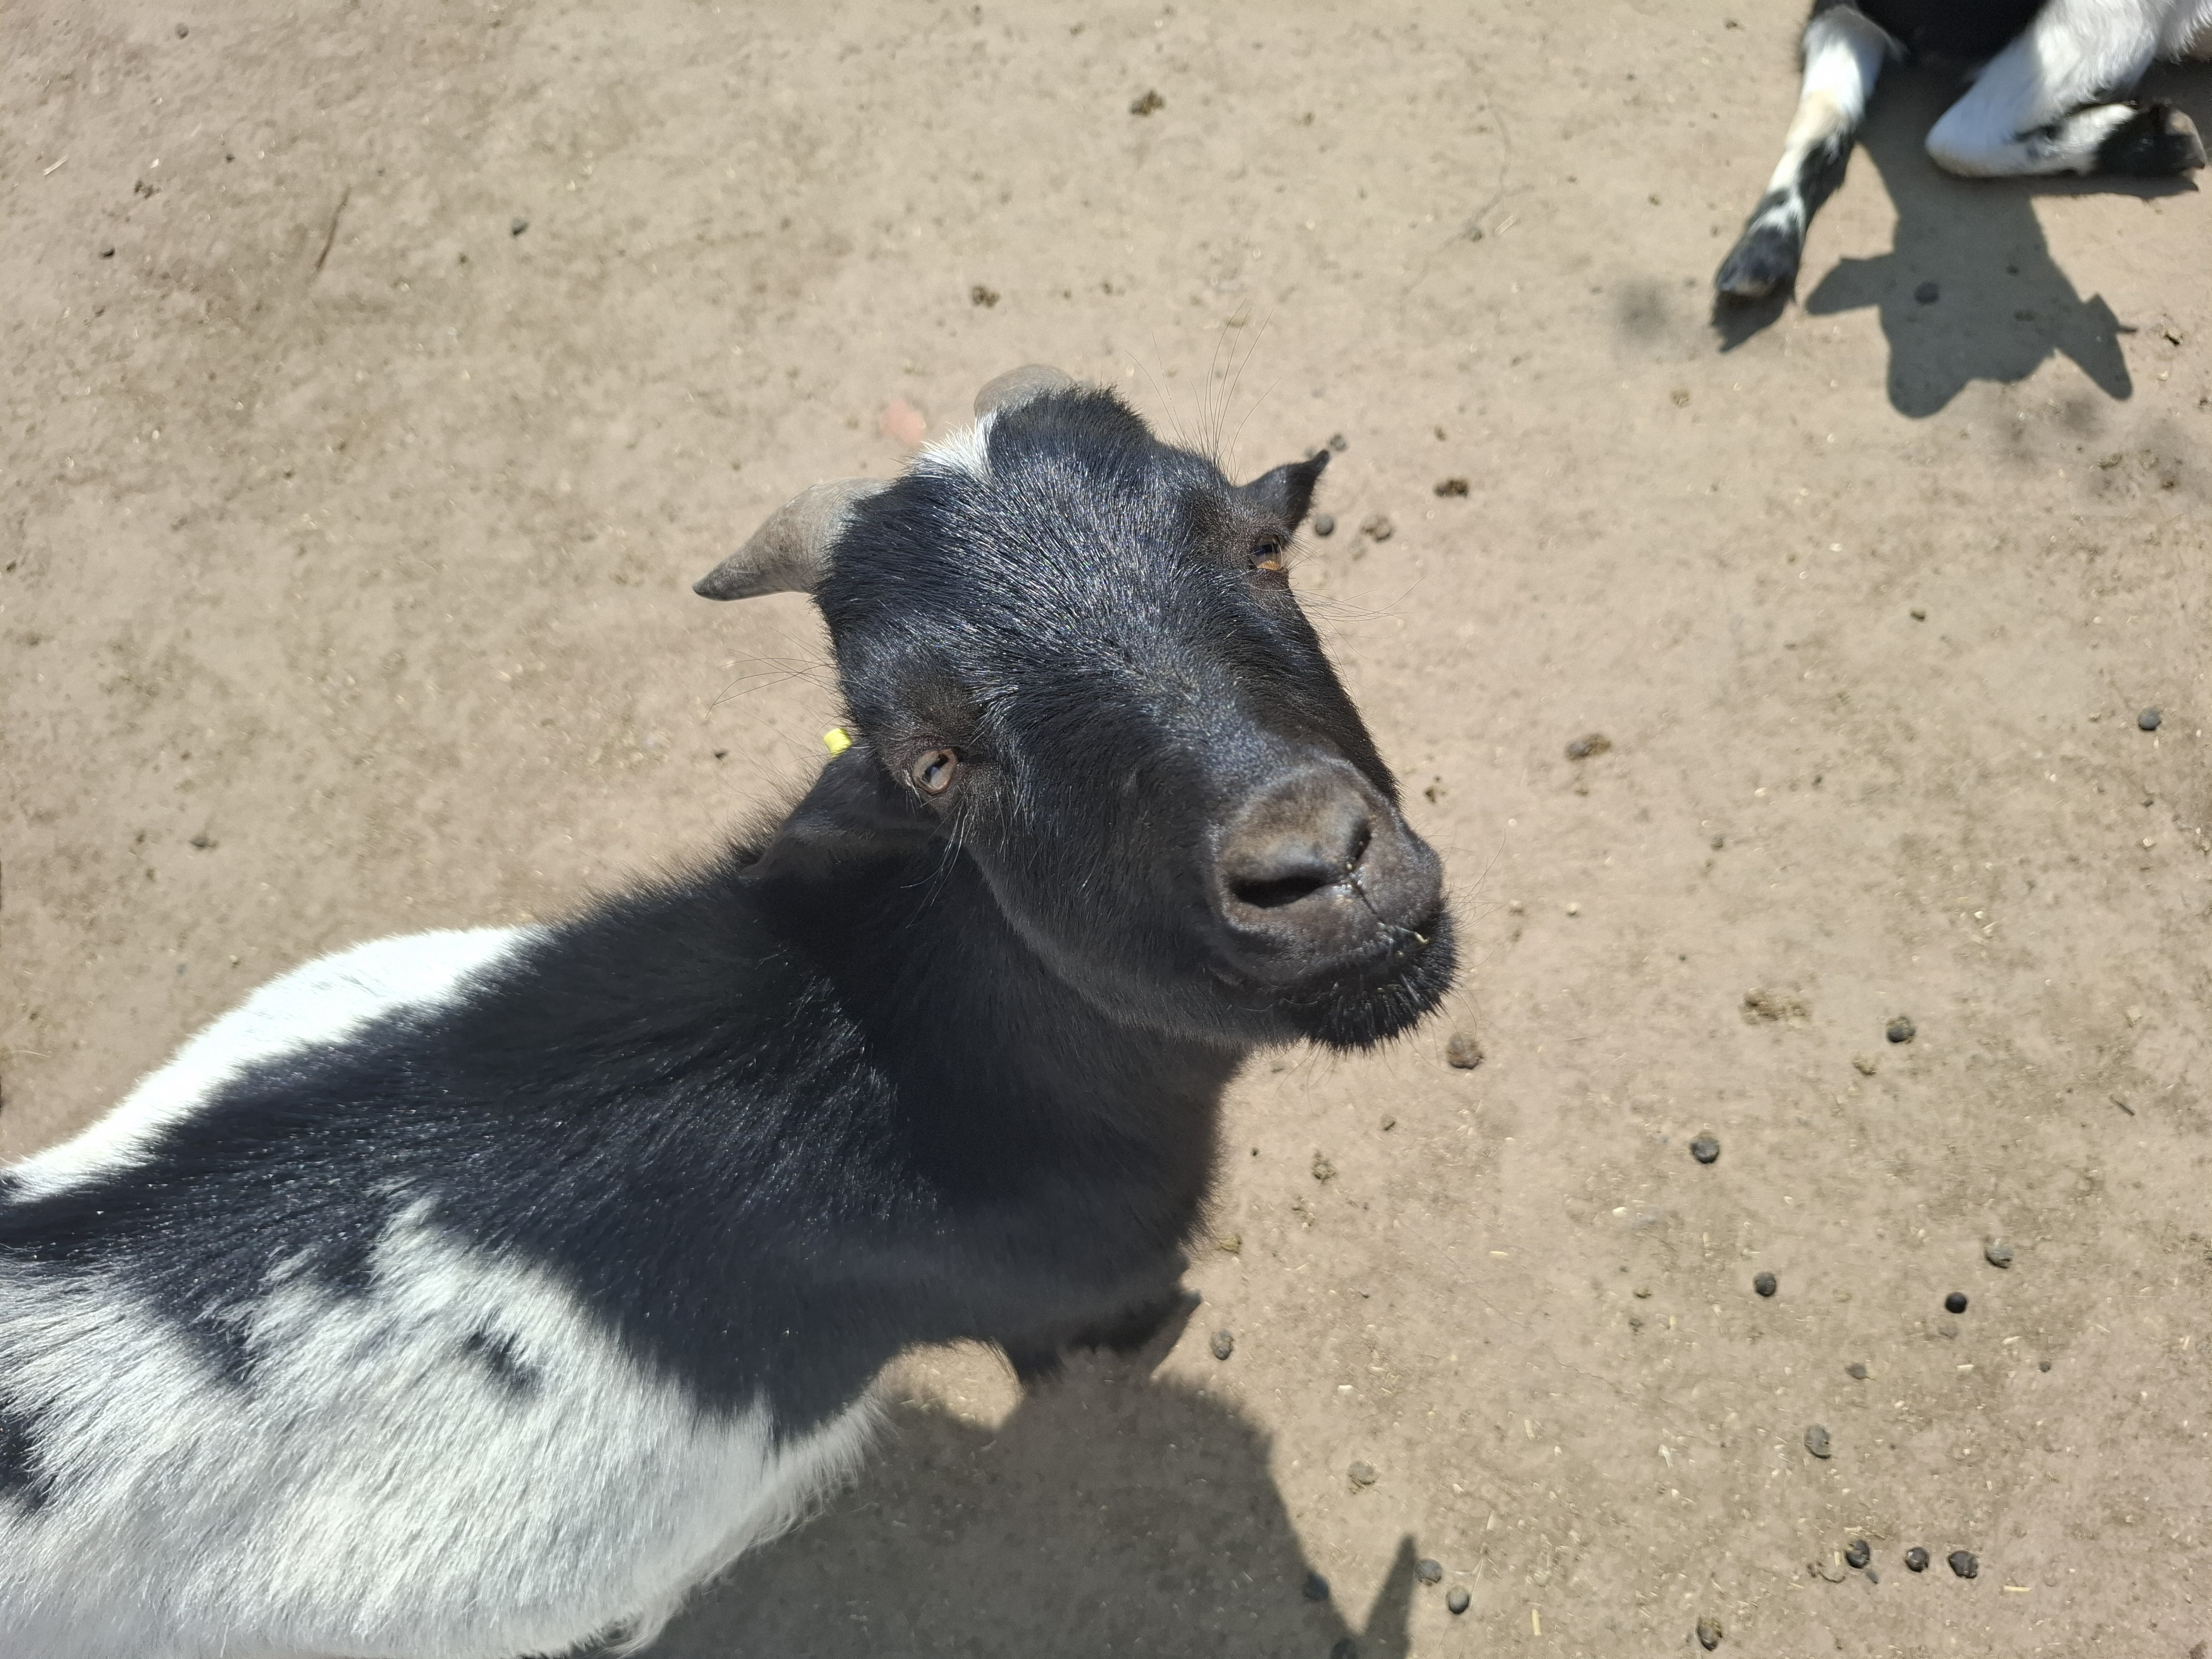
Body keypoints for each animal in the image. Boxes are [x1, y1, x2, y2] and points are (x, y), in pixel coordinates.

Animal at [1717, 0, 2211, 299]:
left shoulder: (2113, 20)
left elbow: (1955, 140)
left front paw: (2163, 139)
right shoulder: (1844, 11)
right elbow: (1820, 114)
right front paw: (1762, 250)